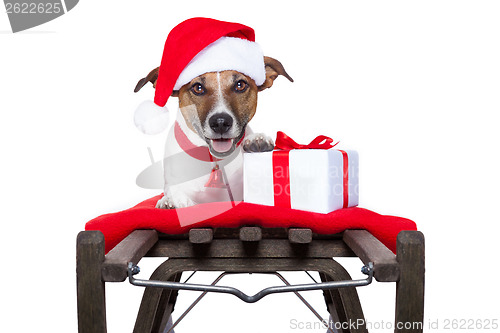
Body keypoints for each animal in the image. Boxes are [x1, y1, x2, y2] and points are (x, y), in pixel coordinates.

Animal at [135, 56, 292, 208]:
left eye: (240, 85)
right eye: (198, 87)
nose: (220, 123)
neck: (215, 160)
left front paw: (257, 139)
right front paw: (170, 201)